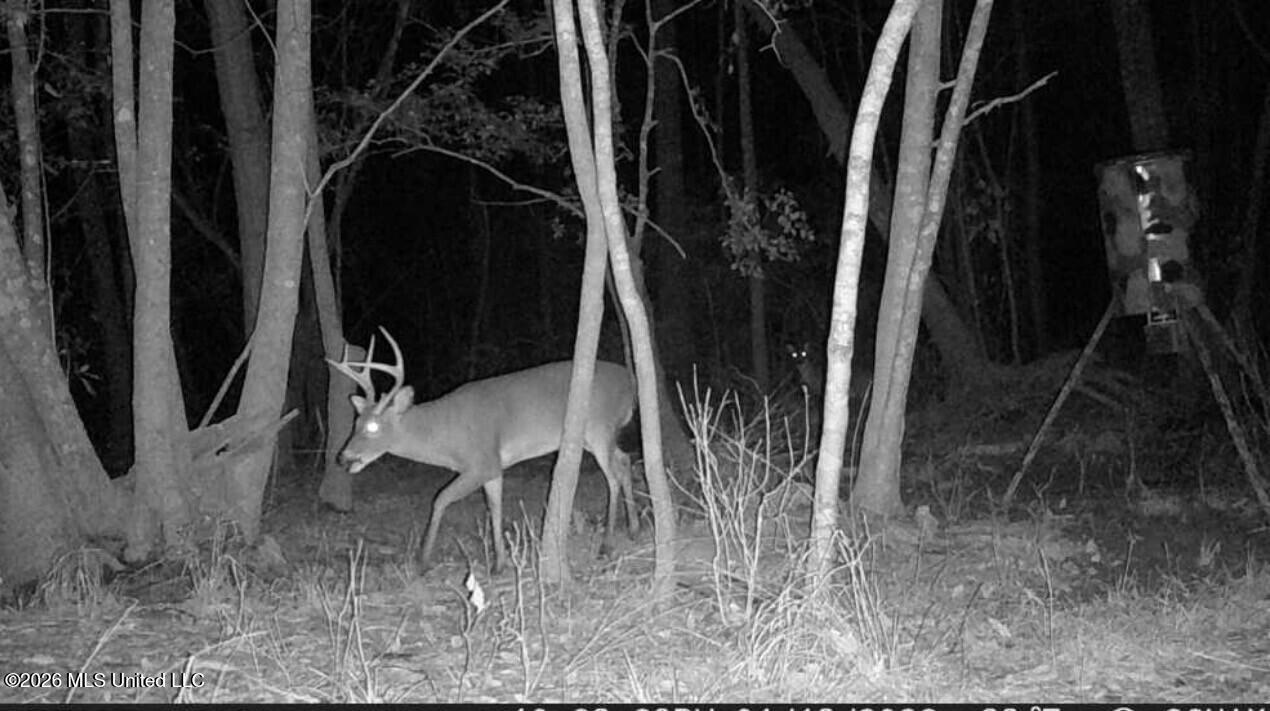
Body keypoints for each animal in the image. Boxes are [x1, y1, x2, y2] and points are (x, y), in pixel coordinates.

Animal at [328, 328, 640, 573]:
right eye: (355, 423)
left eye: (373, 427)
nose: (343, 457)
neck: (445, 434)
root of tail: (631, 383)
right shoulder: (494, 467)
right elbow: (495, 508)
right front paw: (499, 564)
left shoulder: (482, 461)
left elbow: (440, 499)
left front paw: (423, 561)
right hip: (596, 436)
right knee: (625, 461)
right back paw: (633, 527)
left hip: (599, 426)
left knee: (613, 476)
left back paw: (607, 543)